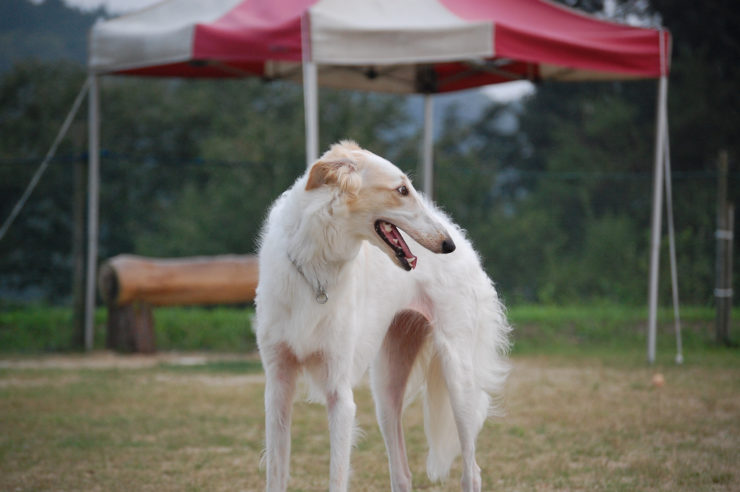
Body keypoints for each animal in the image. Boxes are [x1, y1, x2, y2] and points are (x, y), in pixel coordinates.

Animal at [254, 141, 508, 492]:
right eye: (401, 190)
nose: (447, 245)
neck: (315, 269)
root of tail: (466, 244)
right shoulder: (278, 384)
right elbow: (276, 475)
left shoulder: (340, 394)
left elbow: (337, 478)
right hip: (386, 388)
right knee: (402, 474)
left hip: (457, 377)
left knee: (472, 471)